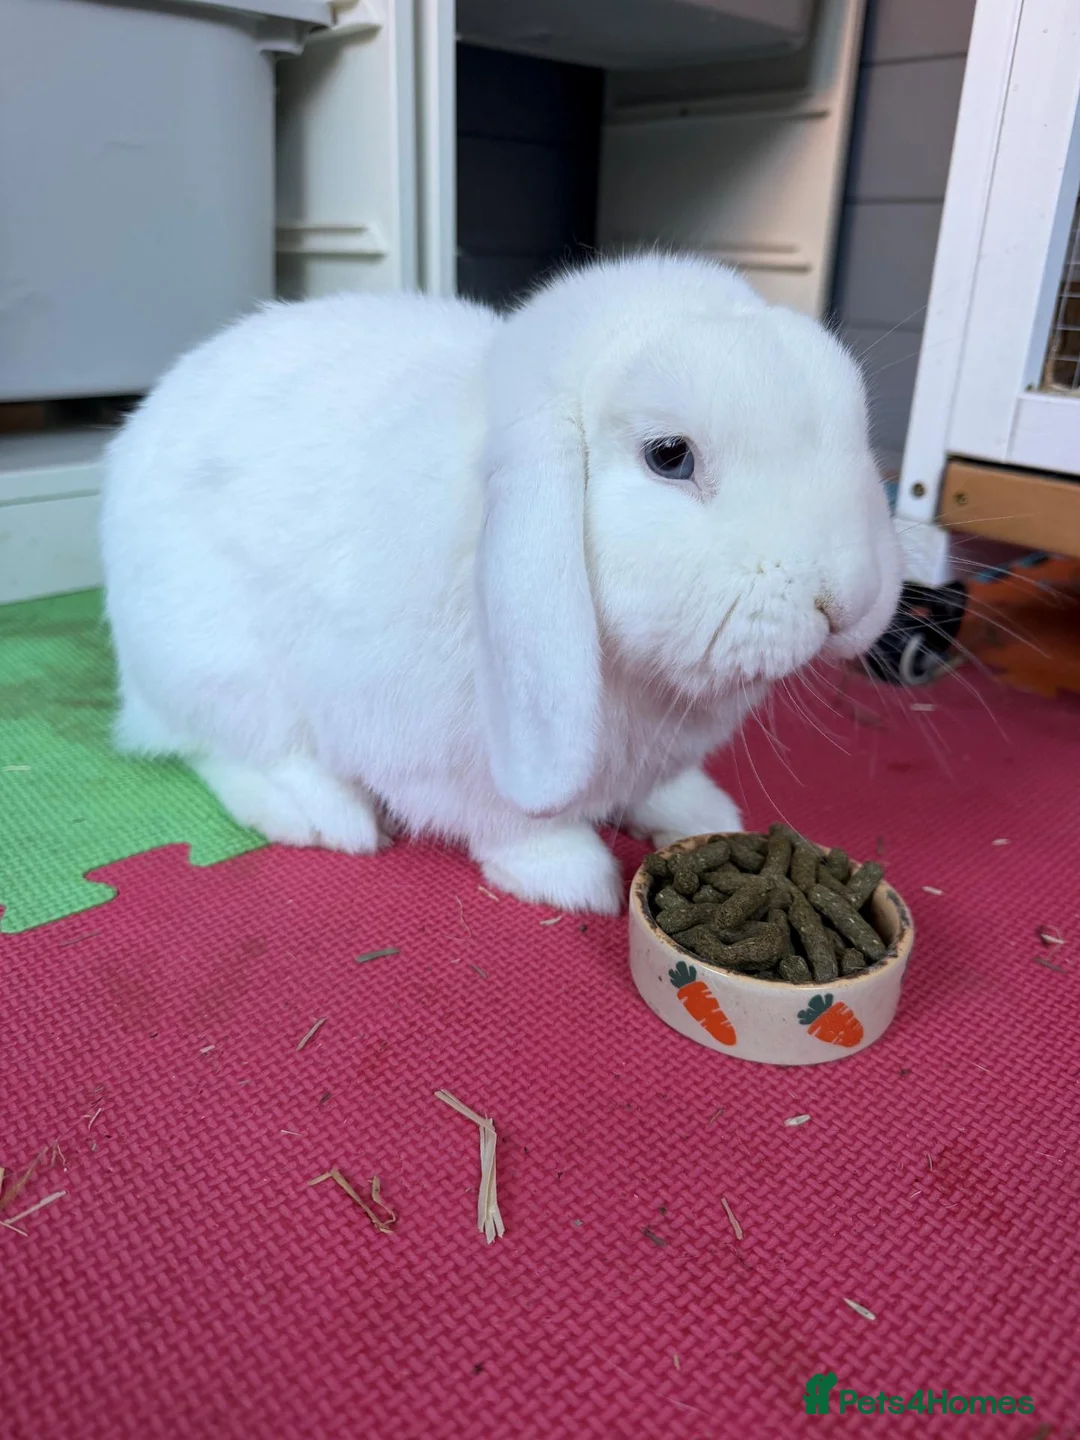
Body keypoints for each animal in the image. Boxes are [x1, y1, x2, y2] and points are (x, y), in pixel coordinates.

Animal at [101, 253, 902, 915]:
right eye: (670, 456)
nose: (847, 597)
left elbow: (658, 794)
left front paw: (702, 816)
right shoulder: (444, 759)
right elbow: (511, 824)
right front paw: (574, 879)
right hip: (219, 667)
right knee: (224, 750)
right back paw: (327, 816)